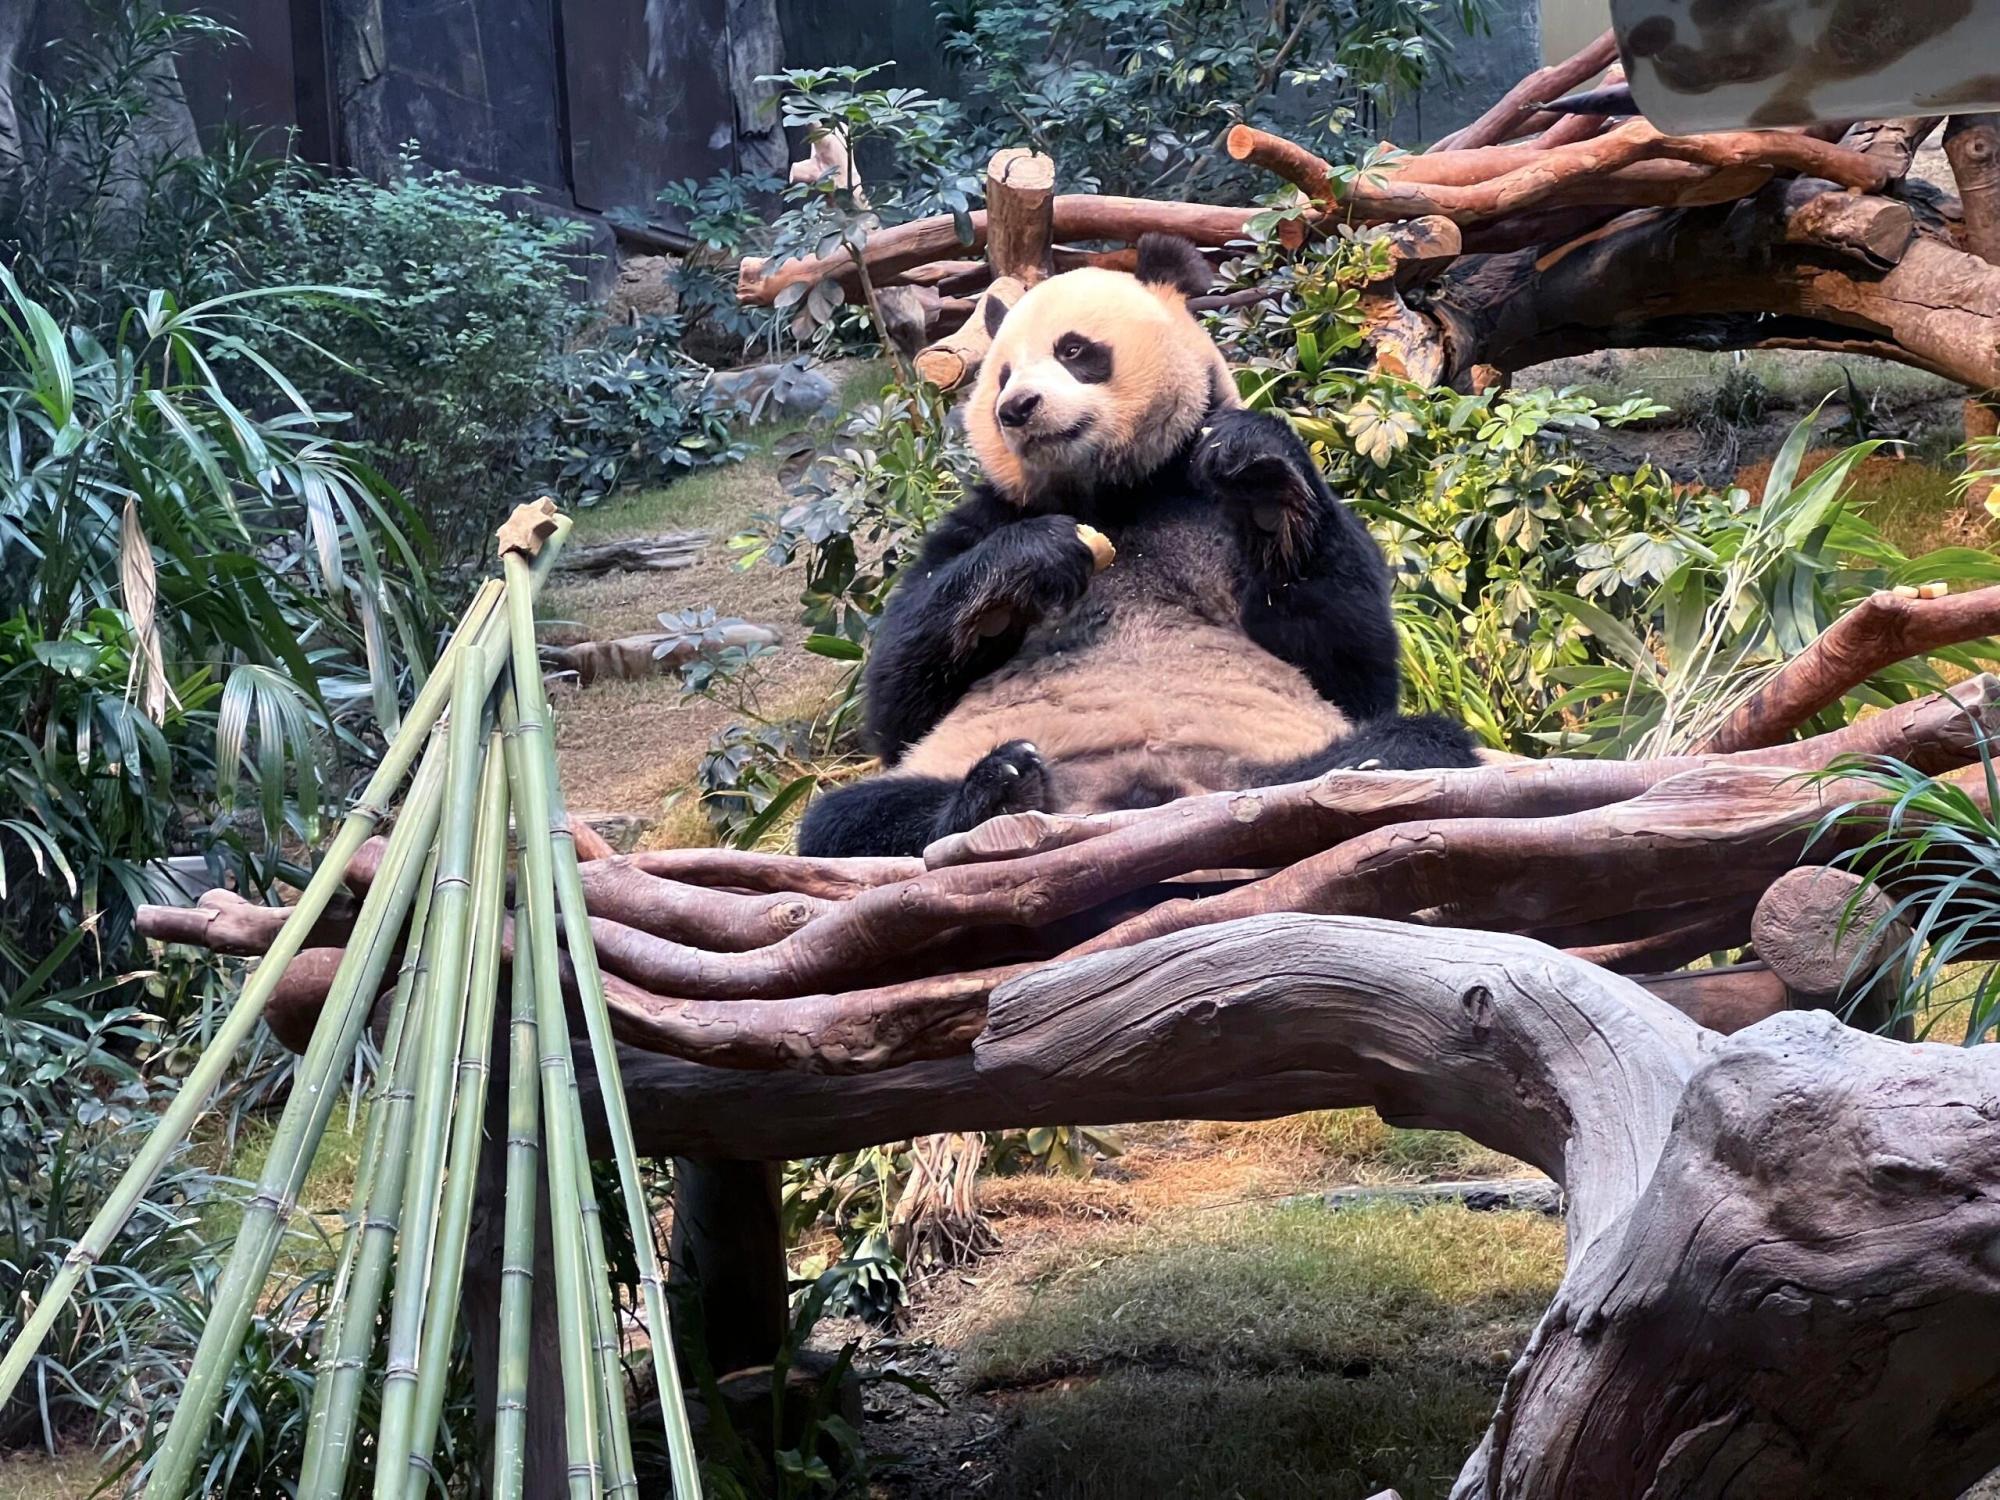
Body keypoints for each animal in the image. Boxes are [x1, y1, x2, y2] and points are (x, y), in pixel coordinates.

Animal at [792, 234, 1472, 856]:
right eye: (1002, 374)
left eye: (1074, 350)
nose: (1017, 407)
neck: (1113, 494)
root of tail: (1135, 797)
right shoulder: (981, 518)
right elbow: (899, 702)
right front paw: (1033, 561)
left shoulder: (1202, 500)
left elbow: (1350, 662)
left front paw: (1260, 477)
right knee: (852, 817)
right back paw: (998, 790)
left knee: (1419, 742)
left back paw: (1355, 771)